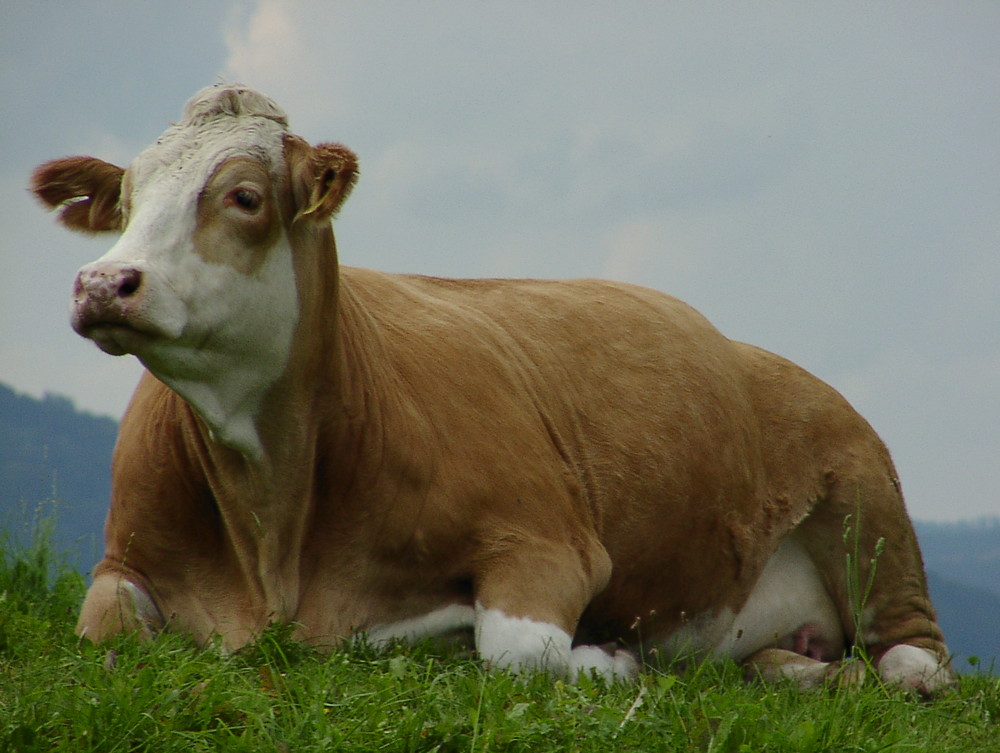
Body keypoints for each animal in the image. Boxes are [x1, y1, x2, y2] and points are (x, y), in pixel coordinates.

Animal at [31, 82, 952, 692]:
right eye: (127, 199)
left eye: (244, 196)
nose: (104, 282)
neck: (275, 529)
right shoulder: (122, 557)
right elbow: (103, 623)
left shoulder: (547, 540)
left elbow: (517, 649)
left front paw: (605, 654)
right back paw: (798, 669)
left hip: (869, 507)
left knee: (916, 653)